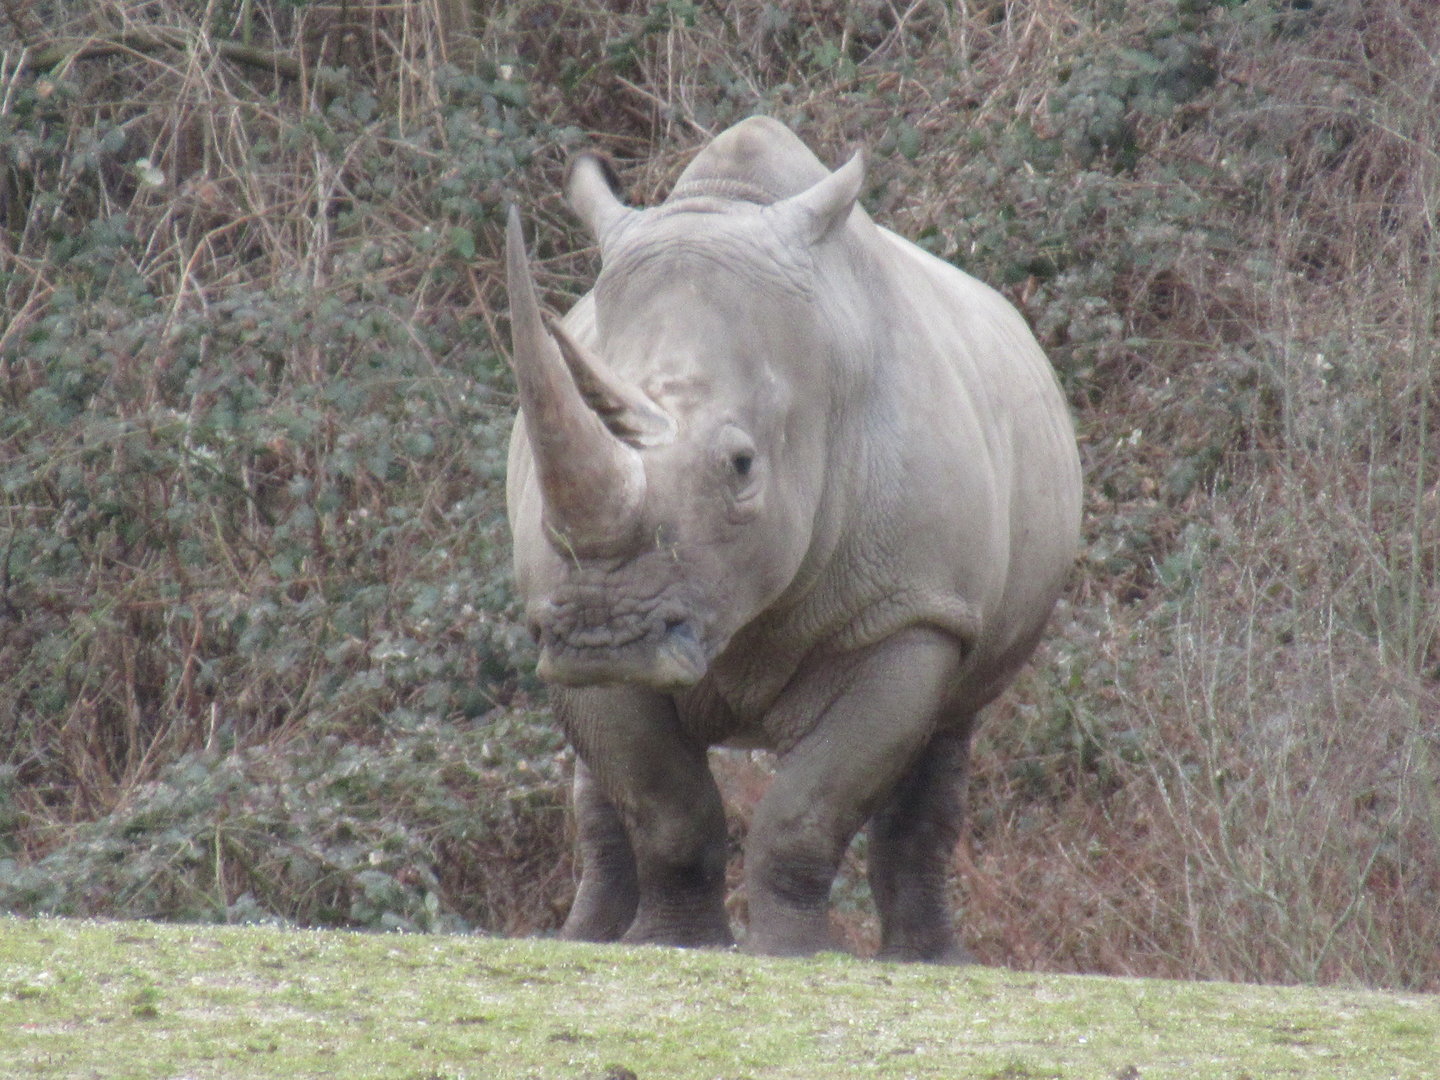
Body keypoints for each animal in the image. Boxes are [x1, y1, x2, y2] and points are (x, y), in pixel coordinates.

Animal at [504, 116, 1081, 961]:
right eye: (541, 490)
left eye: (743, 467)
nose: (604, 635)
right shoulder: (563, 604)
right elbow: (661, 799)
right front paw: (674, 945)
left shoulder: (909, 608)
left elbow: (812, 804)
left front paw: (792, 954)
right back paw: (586, 942)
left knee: (950, 730)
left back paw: (930, 960)